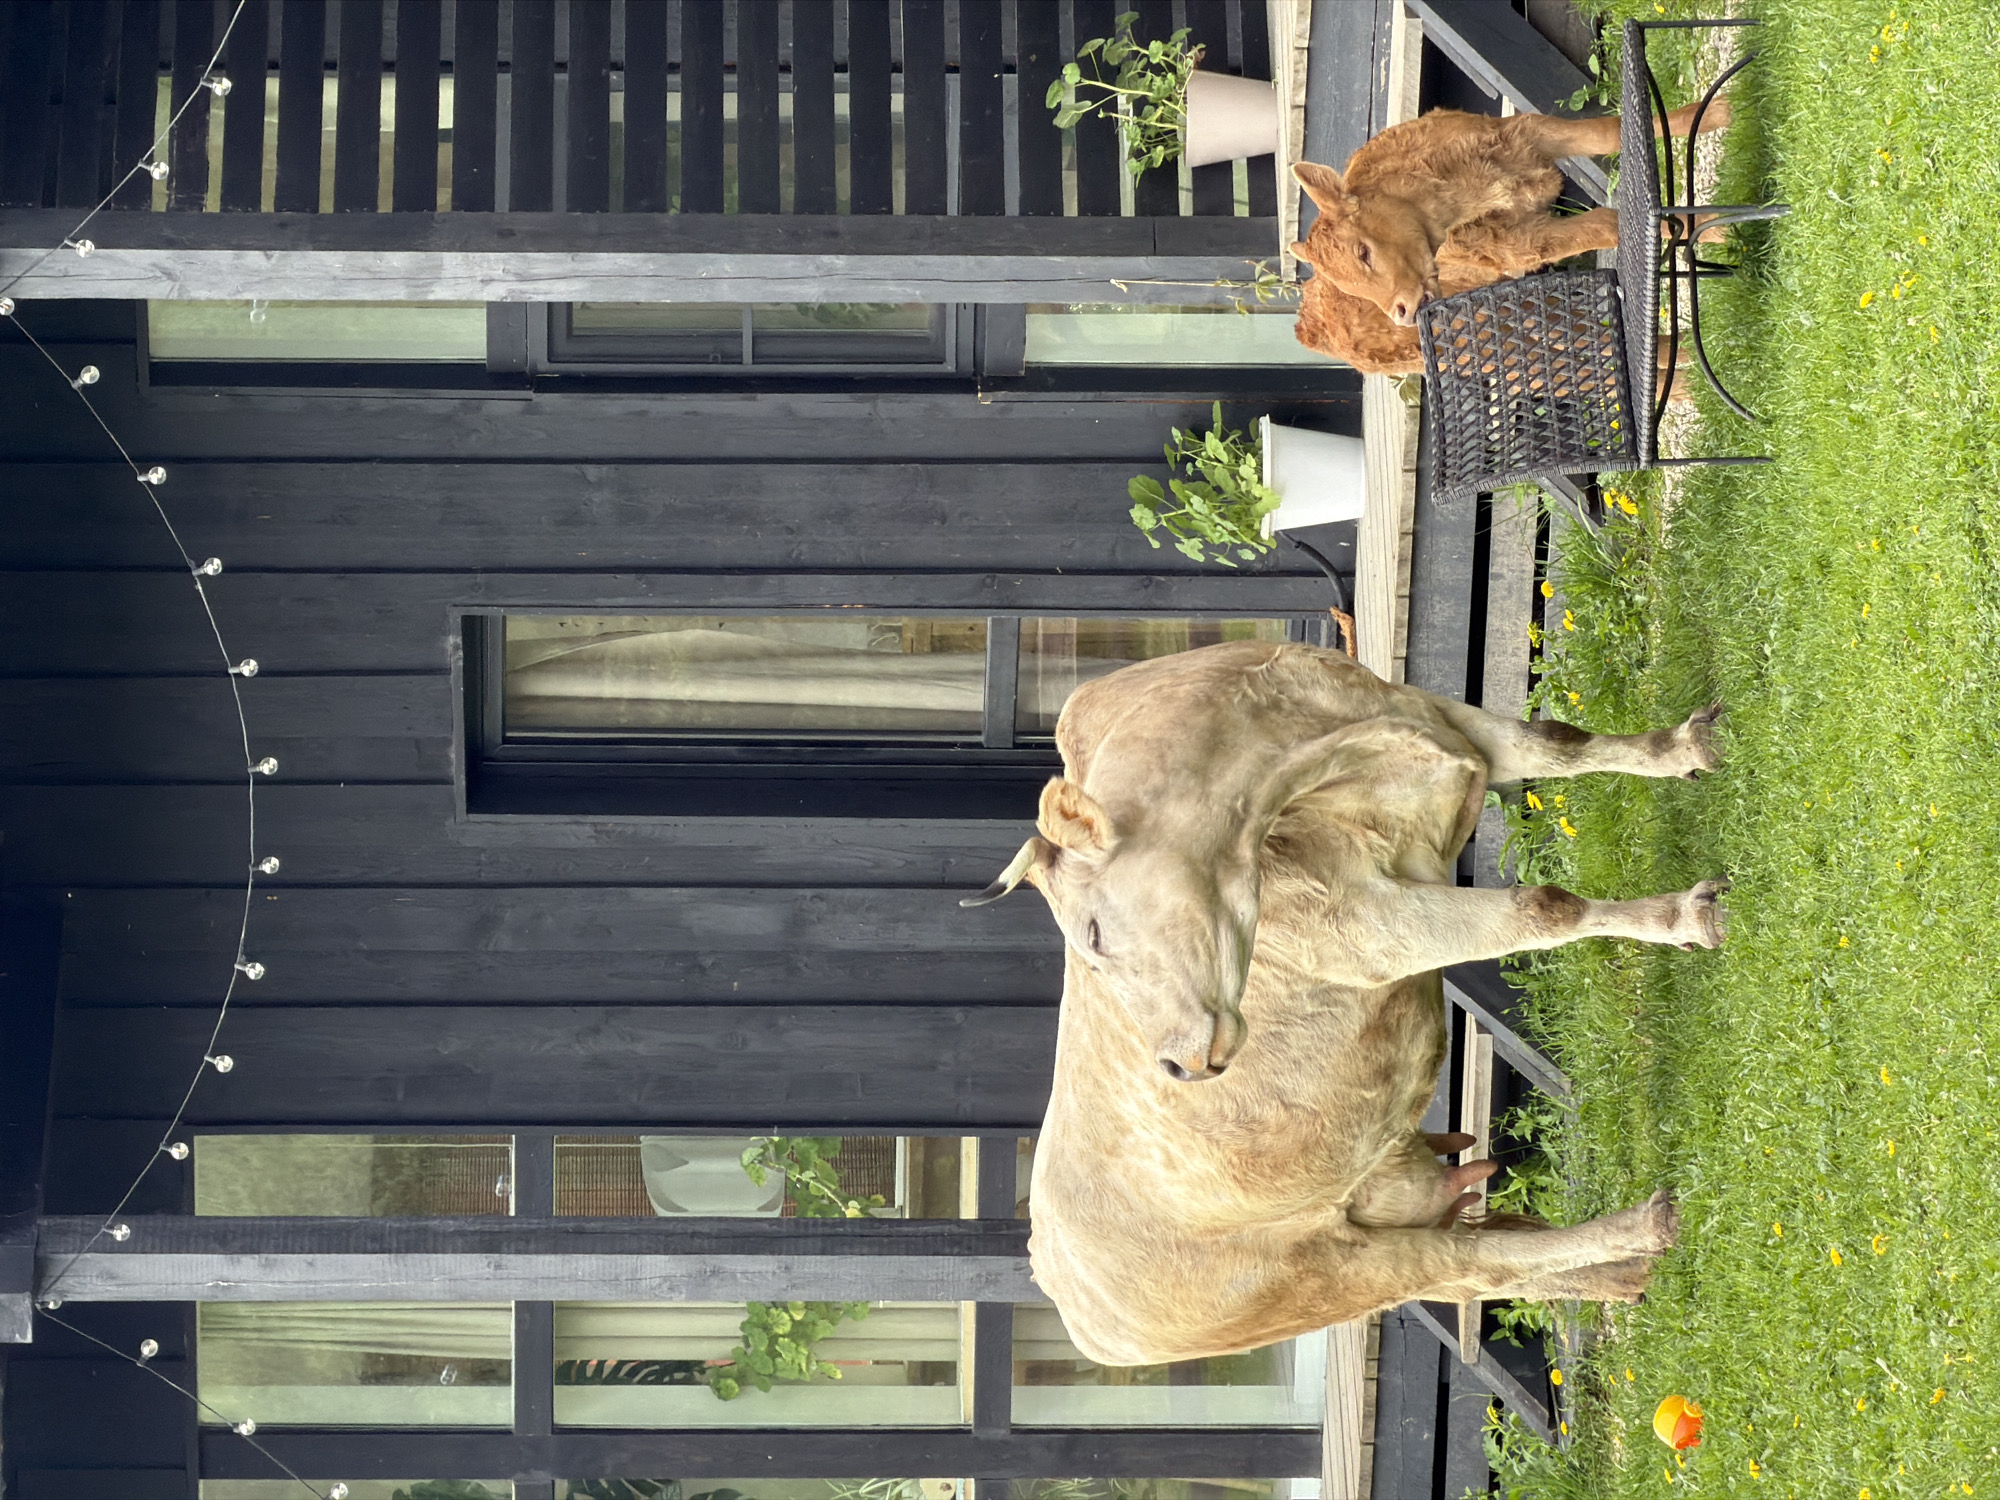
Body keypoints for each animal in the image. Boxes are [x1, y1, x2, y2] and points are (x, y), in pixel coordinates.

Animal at [963, 641, 1723, 1362]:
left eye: (1091, 934)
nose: (1176, 1064)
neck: (1329, 738)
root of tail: (1063, 1289)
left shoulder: (1448, 719)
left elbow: (1560, 740)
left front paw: (1690, 746)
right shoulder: (1371, 927)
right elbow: (1544, 906)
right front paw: (1685, 918)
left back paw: (1625, 1279)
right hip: (1328, 1273)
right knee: (1477, 1263)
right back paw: (1647, 1227)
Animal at [1290, 100, 1732, 376]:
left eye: (1363, 252)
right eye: (1355, 290)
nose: (1400, 311)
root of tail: (1307, 329)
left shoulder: (1529, 133)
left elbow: (1609, 132)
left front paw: (1719, 110)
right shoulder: (1524, 244)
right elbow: (1607, 223)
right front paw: (1718, 226)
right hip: (1493, 346)